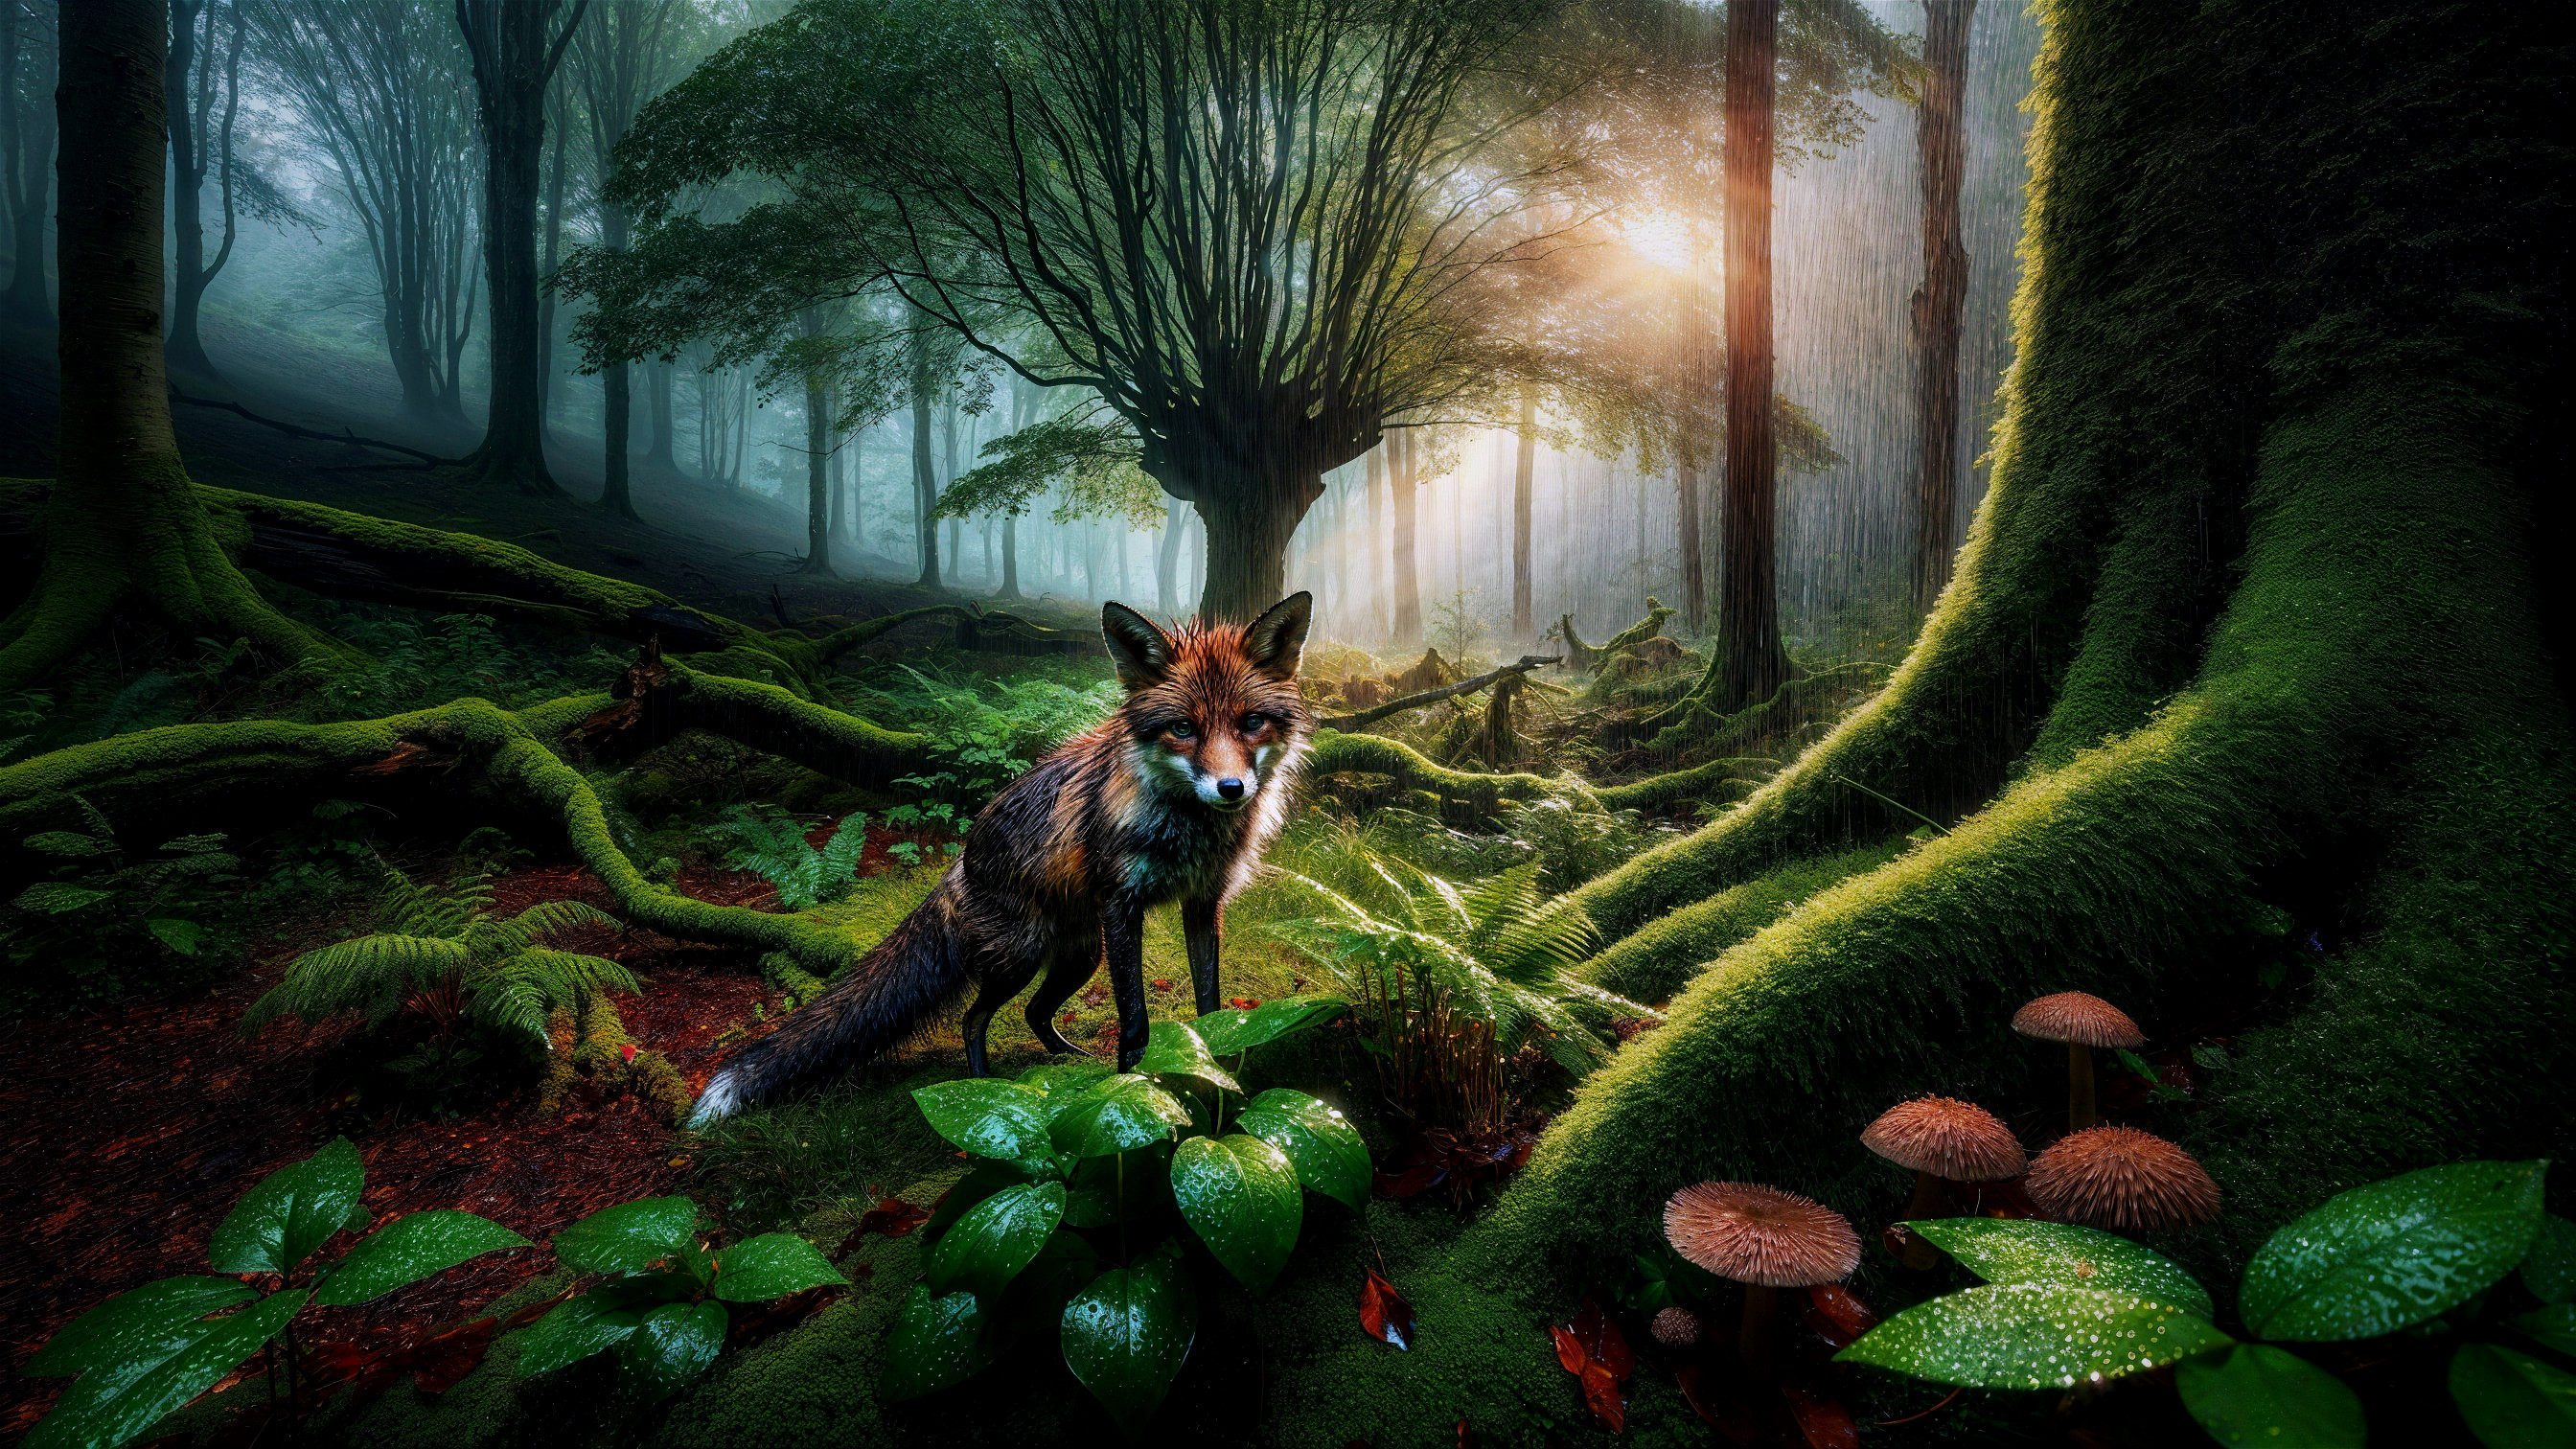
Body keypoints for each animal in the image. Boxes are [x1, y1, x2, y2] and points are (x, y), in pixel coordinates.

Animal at [687, 591, 1315, 1124]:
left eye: (1250, 723)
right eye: (1183, 728)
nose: (1231, 789)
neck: (1187, 831)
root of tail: (960, 864)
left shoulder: (1202, 902)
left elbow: (1210, 1004)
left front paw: (1216, 1067)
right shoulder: (1123, 905)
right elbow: (1135, 1020)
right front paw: (1134, 1088)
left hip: (1080, 955)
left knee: (1035, 1012)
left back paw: (1066, 1057)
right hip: (1026, 955)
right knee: (973, 1018)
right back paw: (984, 1085)